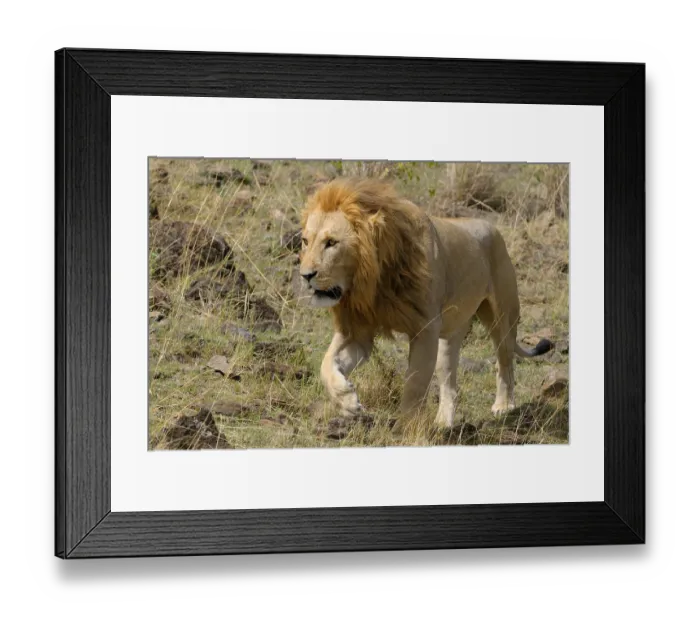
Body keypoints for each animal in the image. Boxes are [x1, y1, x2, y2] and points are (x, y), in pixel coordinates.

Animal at [299, 177, 553, 431]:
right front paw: (347, 401)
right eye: (305, 241)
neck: (374, 282)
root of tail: (492, 227)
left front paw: (406, 428)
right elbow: (326, 363)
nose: (305, 275)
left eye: (331, 243)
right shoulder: (358, 330)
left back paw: (504, 405)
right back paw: (443, 423)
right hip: (451, 335)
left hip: (502, 315)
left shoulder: (425, 329)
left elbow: (415, 383)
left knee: (505, 360)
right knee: (450, 381)